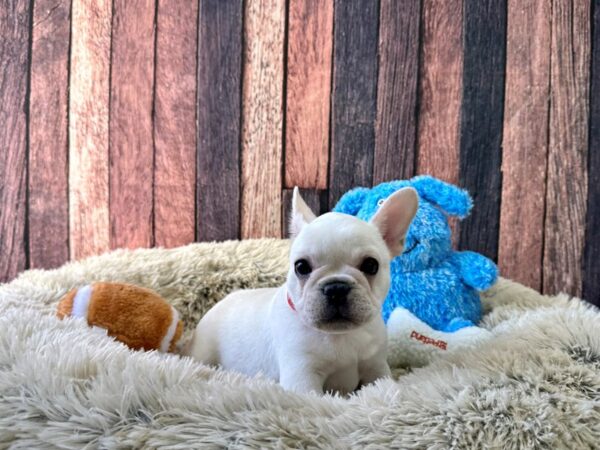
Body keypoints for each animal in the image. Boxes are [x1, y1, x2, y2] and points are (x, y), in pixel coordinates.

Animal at [186, 186, 418, 394]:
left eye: (371, 265)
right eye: (301, 267)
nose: (336, 287)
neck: (340, 335)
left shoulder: (376, 368)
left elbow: (385, 388)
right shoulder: (302, 376)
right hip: (204, 352)